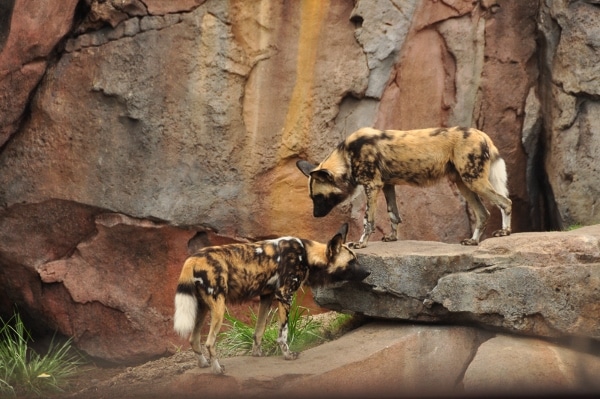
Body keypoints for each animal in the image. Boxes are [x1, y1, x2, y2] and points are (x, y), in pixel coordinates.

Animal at [172, 225, 370, 376]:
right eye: (351, 262)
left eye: (356, 259)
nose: (368, 272)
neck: (306, 255)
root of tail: (192, 258)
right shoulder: (284, 295)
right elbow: (283, 333)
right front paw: (288, 355)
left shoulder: (266, 297)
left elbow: (258, 331)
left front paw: (257, 354)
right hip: (219, 308)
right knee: (209, 342)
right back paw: (218, 370)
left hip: (203, 308)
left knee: (193, 339)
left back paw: (203, 364)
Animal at [296, 126, 510, 248]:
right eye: (312, 198)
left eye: (319, 197)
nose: (315, 215)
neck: (347, 157)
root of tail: (483, 135)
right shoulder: (387, 185)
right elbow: (393, 215)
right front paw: (392, 237)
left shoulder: (372, 186)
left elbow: (368, 221)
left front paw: (361, 243)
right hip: (464, 183)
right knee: (483, 213)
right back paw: (473, 241)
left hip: (474, 181)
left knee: (505, 202)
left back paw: (505, 232)